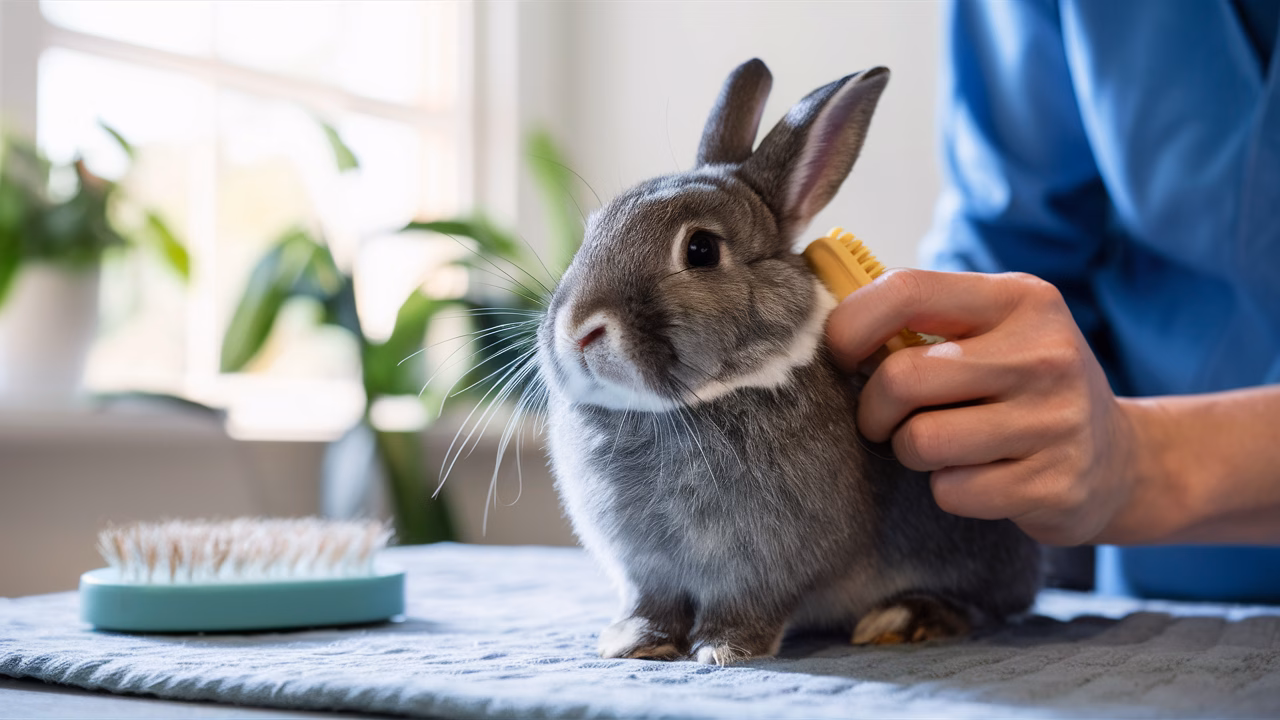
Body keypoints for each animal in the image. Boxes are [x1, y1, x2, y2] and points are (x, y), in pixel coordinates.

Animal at [535, 58, 1041, 665]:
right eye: (592, 231)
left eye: (701, 250)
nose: (580, 330)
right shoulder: (648, 572)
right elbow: (651, 604)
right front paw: (634, 644)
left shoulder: (765, 568)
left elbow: (748, 605)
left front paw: (725, 648)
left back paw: (907, 616)